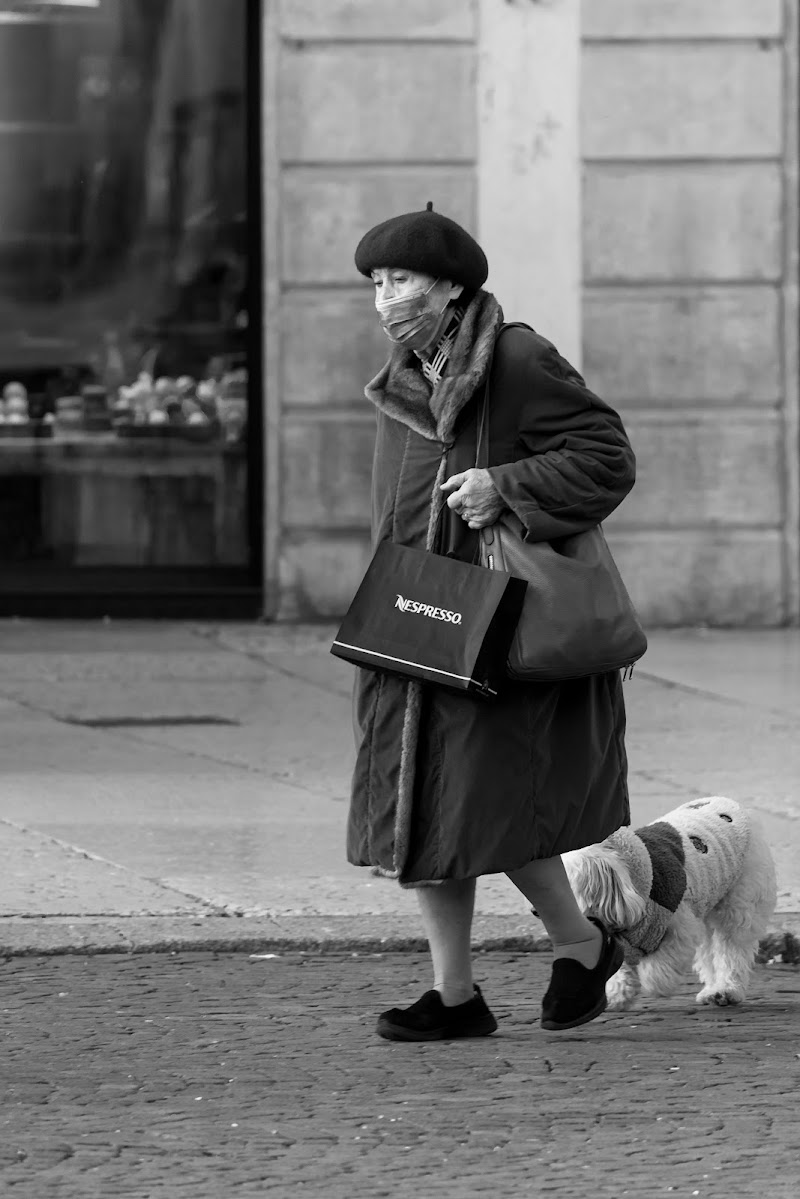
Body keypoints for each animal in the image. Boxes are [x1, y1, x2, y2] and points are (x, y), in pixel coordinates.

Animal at [563, 796, 777, 1011]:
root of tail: (730, 802)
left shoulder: (679, 925)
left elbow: (662, 963)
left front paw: (654, 984)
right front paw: (617, 995)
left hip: (740, 898)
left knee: (731, 947)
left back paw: (727, 989)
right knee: (709, 953)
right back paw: (712, 991)